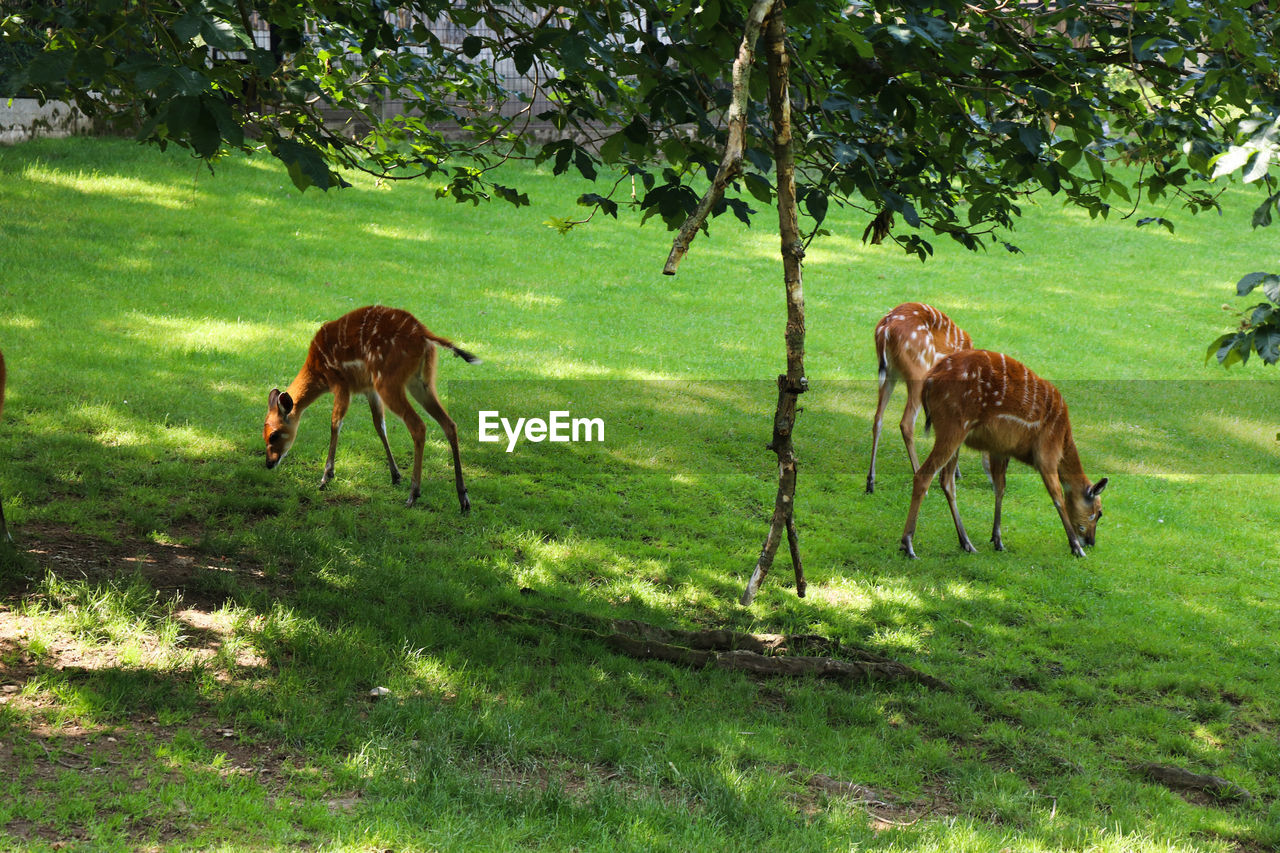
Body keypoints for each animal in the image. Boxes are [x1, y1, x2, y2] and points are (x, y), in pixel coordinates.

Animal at [264, 303, 481, 507]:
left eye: (274, 435)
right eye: (263, 434)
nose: (269, 463)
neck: (318, 372)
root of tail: (424, 334)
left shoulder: (341, 384)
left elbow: (335, 423)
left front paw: (326, 477)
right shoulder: (369, 390)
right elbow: (379, 425)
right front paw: (395, 475)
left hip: (388, 381)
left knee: (418, 425)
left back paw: (413, 494)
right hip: (420, 381)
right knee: (449, 424)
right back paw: (463, 498)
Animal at [865, 303, 972, 491]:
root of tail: (885, 330)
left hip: (888, 374)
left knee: (878, 418)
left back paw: (870, 482)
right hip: (918, 371)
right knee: (906, 423)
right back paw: (918, 473)